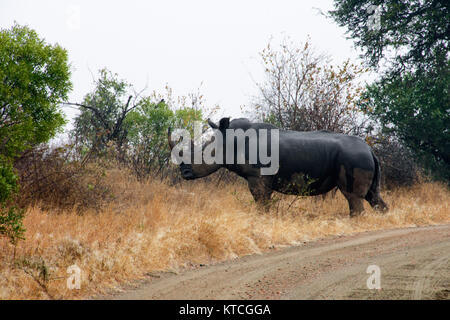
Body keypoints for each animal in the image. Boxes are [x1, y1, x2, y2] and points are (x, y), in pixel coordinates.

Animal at [169, 117, 386, 218]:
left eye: (202, 156)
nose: (184, 173)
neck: (231, 140)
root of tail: (370, 149)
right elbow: (264, 203)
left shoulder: (257, 177)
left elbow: (261, 202)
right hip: (361, 158)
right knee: (373, 196)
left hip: (354, 158)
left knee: (353, 197)